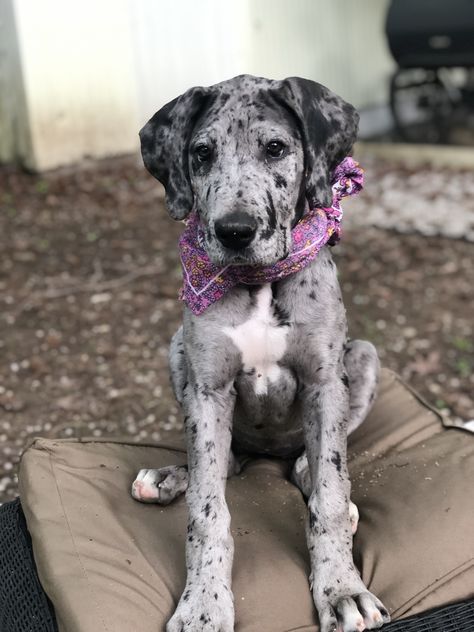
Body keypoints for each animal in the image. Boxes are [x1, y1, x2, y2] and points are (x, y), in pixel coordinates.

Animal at [131, 75, 388, 632]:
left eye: (275, 148)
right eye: (201, 154)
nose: (233, 231)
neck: (260, 281)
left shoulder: (324, 382)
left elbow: (329, 498)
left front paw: (342, 589)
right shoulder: (208, 390)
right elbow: (207, 511)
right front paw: (204, 603)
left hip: (363, 356)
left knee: (315, 465)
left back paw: (311, 474)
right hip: (178, 353)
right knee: (223, 464)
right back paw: (168, 476)